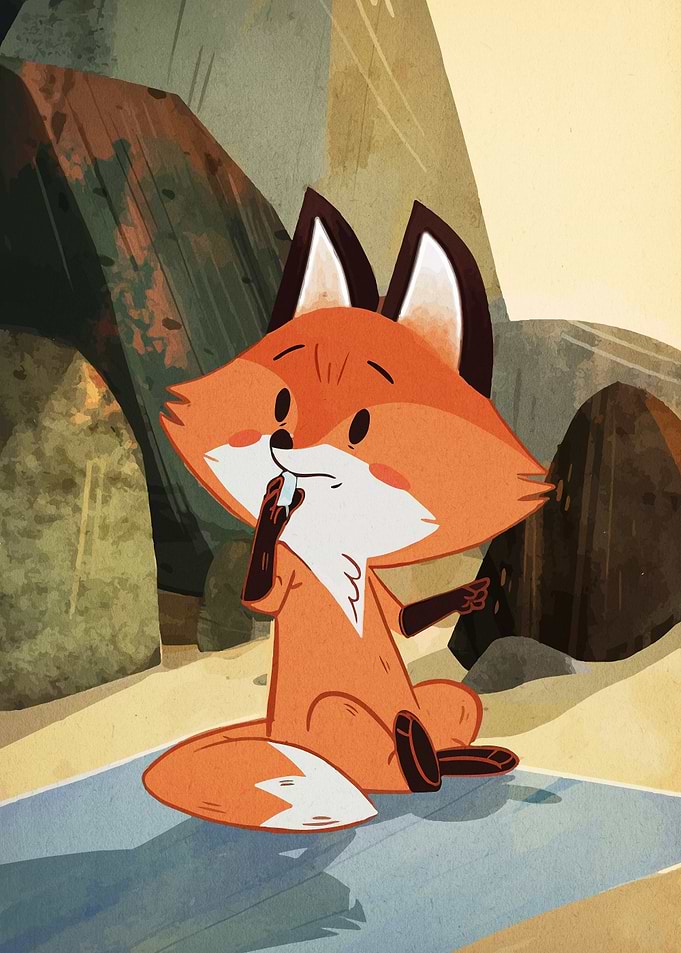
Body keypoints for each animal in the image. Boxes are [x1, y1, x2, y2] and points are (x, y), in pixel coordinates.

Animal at [143, 190, 551, 833]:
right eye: (281, 401)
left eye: (360, 425)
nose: (283, 442)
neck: (338, 546)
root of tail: (267, 730)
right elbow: (262, 589)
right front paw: (272, 514)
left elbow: (403, 621)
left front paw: (471, 595)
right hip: (331, 720)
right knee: (382, 760)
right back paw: (416, 760)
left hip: (438, 702)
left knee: (454, 703)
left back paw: (459, 757)